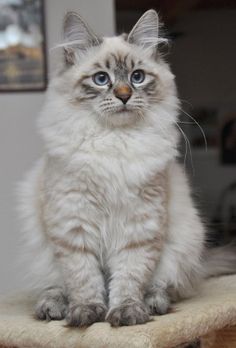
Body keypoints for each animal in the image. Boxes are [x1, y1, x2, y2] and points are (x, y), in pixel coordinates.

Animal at [18, 9, 234, 328]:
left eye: (137, 77)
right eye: (101, 79)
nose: (123, 95)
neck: (115, 141)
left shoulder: (139, 226)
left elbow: (129, 278)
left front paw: (126, 314)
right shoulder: (74, 224)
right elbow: (83, 278)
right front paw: (86, 313)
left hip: (182, 243)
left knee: (164, 285)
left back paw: (154, 304)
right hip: (43, 256)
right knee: (55, 286)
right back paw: (53, 308)